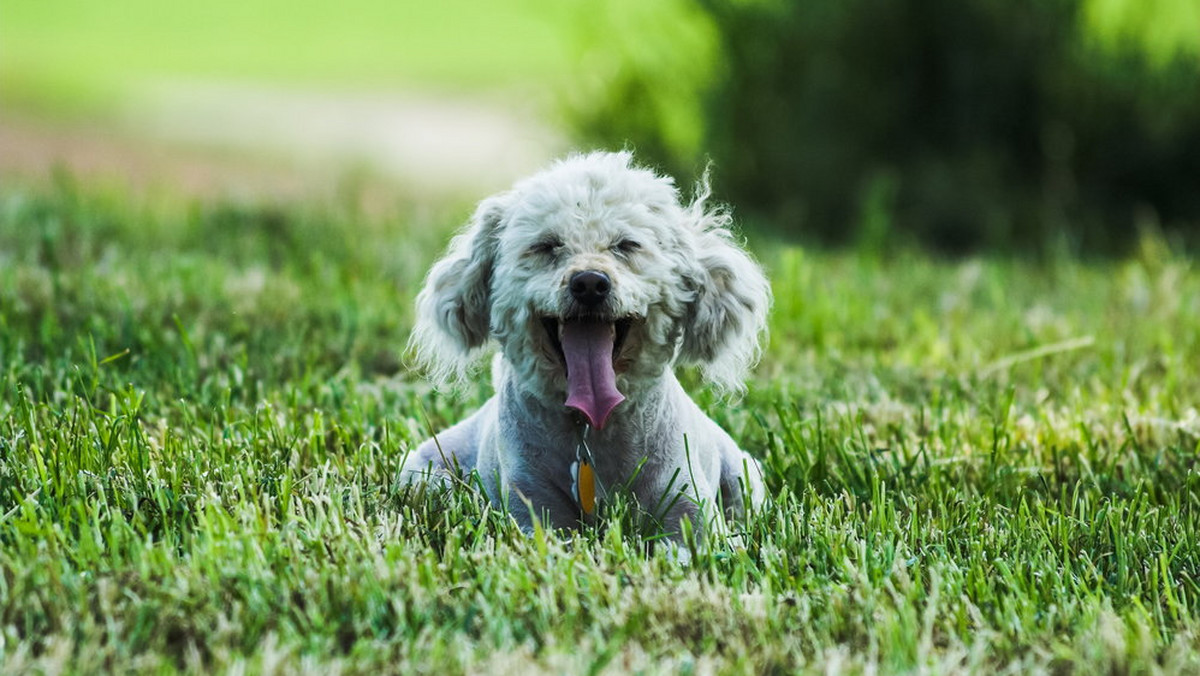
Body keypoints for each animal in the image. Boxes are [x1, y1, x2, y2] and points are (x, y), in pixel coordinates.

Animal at [405, 150, 768, 542]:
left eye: (626, 245)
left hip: (744, 476)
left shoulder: (687, 510)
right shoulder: (533, 510)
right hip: (421, 474)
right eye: (547, 245)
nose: (590, 283)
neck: (590, 429)